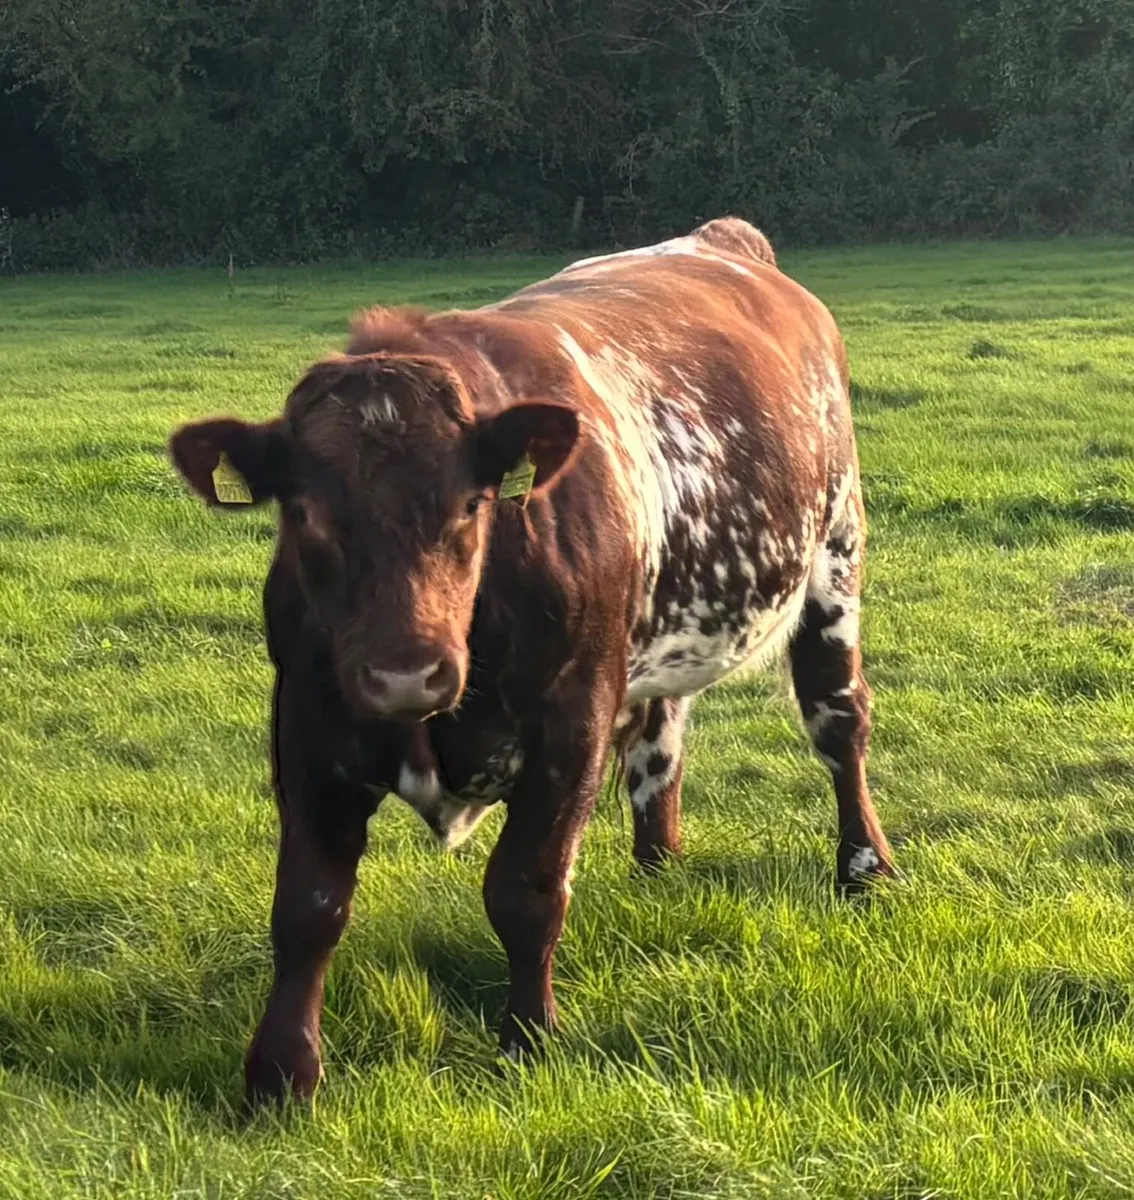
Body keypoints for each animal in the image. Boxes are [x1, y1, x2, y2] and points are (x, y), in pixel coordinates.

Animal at [168, 216, 894, 1111]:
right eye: (302, 513)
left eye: (472, 504)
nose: (405, 673)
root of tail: (722, 240)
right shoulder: (307, 723)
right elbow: (308, 906)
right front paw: (282, 1075)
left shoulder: (570, 721)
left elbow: (527, 888)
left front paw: (528, 1037)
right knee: (660, 743)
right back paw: (658, 867)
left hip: (835, 557)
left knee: (839, 722)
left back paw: (865, 866)